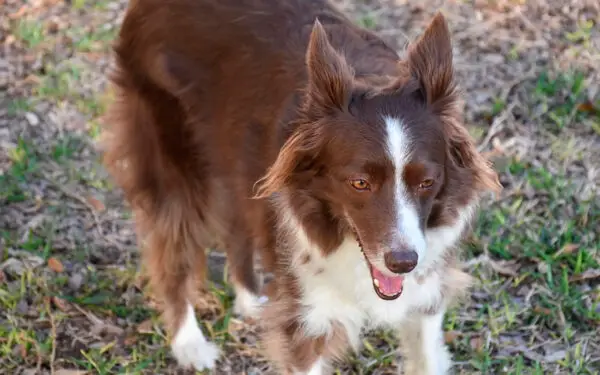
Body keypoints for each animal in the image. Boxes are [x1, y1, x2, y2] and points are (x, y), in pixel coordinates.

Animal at [103, 0, 502, 374]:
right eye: (360, 183)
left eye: (427, 183)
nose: (402, 263)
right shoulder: (309, 313)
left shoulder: (424, 296)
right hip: (169, 145)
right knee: (173, 243)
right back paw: (189, 344)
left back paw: (251, 300)